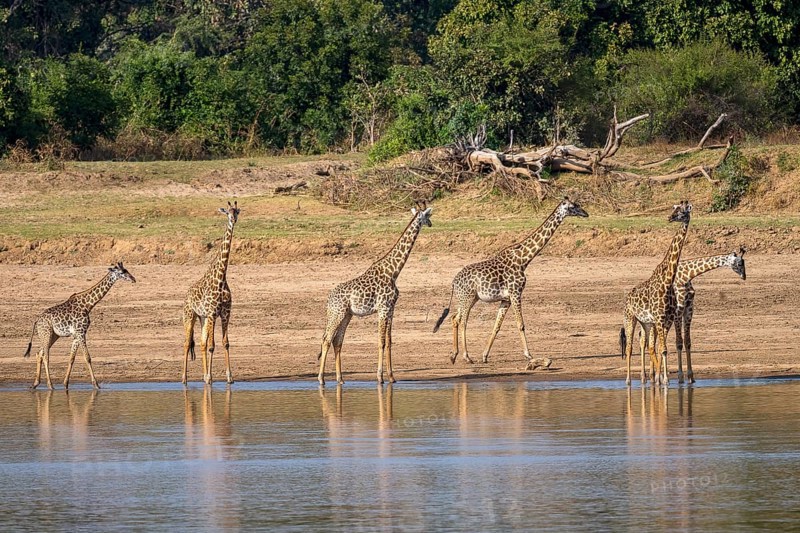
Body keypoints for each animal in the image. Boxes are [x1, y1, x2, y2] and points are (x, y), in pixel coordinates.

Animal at [182, 201, 240, 386]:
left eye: (237, 211)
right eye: (227, 212)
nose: (233, 219)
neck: (221, 277)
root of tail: (186, 295)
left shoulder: (225, 312)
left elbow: (225, 343)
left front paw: (229, 377)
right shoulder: (213, 313)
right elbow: (212, 345)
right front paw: (211, 376)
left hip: (203, 317)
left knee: (201, 343)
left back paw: (203, 376)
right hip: (190, 315)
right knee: (187, 343)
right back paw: (184, 378)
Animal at [317, 202, 433, 386]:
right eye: (428, 216)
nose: (430, 224)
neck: (393, 271)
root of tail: (328, 299)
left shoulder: (391, 309)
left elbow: (390, 341)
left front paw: (392, 377)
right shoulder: (383, 309)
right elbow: (381, 342)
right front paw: (380, 377)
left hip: (346, 315)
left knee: (337, 341)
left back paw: (340, 379)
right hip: (337, 313)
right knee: (326, 339)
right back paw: (321, 379)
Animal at [433, 197, 589, 369]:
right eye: (573, 206)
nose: (586, 213)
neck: (523, 260)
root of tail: (453, 282)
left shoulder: (505, 299)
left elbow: (497, 326)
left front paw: (485, 356)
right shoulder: (516, 293)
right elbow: (520, 324)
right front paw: (528, 355)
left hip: (469, 298)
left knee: (455, 318)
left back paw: (453, 356)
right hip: (467, 297)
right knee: (462, 321)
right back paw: (466, 357)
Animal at [620, 200, 693, 387]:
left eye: (683, 211)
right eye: (674, 209)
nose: (670, 217)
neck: (667, 281)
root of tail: (627, 297)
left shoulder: (665, 320)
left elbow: (662, 349)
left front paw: (662, 378)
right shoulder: (659, 320)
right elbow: (663, 349)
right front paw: (664, 379)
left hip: (646, 323)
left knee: (649, 346)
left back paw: (650, 378)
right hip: (630, 318)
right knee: (630, 347)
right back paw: (629, 380)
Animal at [637, 247, 746, 384]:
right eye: (739, 263)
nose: (744, 276)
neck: (687, 275)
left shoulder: (689, 309)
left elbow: (687, 341)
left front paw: (690, 376)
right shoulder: (678, 310)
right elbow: (679, 342)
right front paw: (680, 376)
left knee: (651, 342)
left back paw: (653, 376)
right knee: (644, 341)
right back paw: (645, 376)